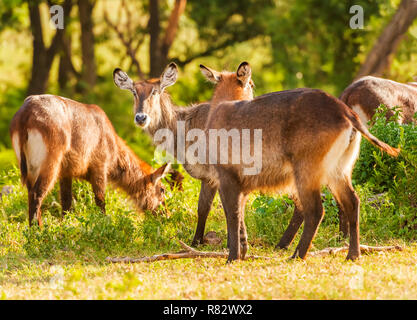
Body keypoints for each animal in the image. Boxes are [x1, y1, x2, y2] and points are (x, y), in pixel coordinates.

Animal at [10, 94, 171, 226]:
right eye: (162, 189)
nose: (167, 215)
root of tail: (25, 114)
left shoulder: (66, 172)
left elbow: (66, 202)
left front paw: (65, 225)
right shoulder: (100, 166)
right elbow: (100, 199)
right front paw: (104, 223)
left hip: (31, 168)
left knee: (30, 194)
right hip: (49, 164)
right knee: (36, 194)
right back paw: (38, 230)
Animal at [111, 62, 254, 246]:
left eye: (155, 91)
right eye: (134, 92)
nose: (141, 118)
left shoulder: (214, 175)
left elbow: (210, 207)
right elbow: (207, 207)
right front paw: (198, 241)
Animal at [206, 85, 400, 262]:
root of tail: (347, 113)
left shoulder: (227, 178)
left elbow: (233, 215)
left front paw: (232, 257)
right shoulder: (242, 187)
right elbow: (240, 216)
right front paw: (242, 252)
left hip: (306, 172)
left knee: (315, 210)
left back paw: (297, 255)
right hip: (338, 171)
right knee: (352, 202)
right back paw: (352, 255)